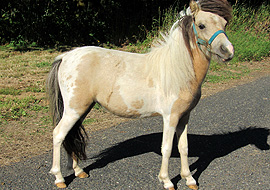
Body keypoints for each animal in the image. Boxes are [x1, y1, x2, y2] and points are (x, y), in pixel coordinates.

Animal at [46, 0, 234, 189]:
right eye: (201, 25)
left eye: (225, 23)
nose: (228, 51)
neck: (179, 70)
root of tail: (66, 56)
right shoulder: (170, 117)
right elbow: (167, 148)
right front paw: (166, 180)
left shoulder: (184, 116)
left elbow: (183, 147)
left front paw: (189, 179)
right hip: (74, 110)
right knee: (58, 134)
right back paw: (59, 178)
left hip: (81, 109)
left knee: (70, 134)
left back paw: (78, 171)